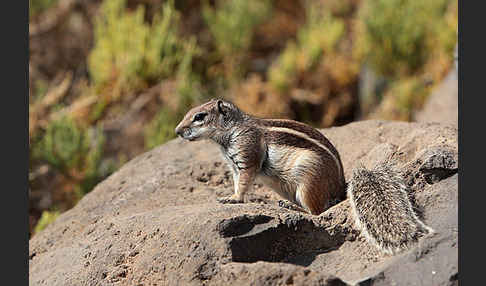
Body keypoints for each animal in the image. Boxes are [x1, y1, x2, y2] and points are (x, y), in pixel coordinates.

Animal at [175, 99, 432, 255]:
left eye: (199, 116)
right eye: (188, 112)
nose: (177, 131)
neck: (231, 131)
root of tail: (340, 189)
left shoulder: (247, 155)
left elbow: (245, 181)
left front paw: (234, 199)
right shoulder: (234, 166)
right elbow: (238, 181)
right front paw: (230, 195)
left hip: (308, 180)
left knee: (316, 212)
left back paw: (291, 207)